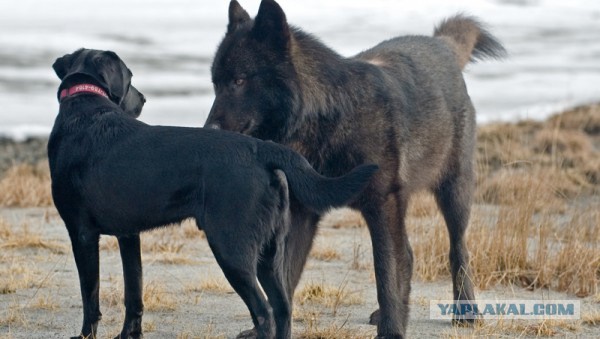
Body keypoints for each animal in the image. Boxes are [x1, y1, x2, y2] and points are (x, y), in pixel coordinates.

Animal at [49, 48, 378, 339]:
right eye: (130, 79)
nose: (142, 98)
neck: (85, 104)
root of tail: (261, 147)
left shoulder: (82, 233)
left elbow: (90, 296)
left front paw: (85, 336)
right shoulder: (128, 235)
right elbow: (134, 294)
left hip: (231, 248)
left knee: (264, 313)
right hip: (269, 251)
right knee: (283, 308)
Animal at [206, 1, 506, 338]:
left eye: (239, 81)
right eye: (215, 84)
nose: (207, 131)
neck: (328, 120)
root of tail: (442, 44)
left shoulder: (382, 206)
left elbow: (385, 271)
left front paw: (392, 331)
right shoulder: (300, 215)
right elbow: (283, 279)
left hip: (454, 193)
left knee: (457, 250)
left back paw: (466, 311)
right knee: (410, 254)